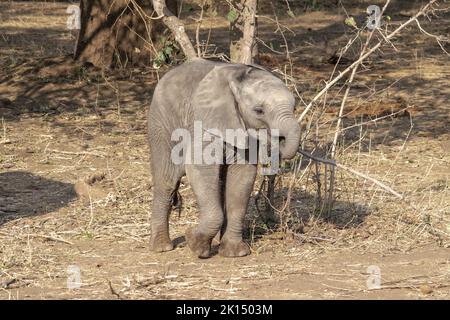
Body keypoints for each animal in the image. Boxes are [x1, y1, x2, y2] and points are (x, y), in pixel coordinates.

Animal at [148, 58, 300, 258]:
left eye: (294, 107)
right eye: (259, 111)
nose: (280, 139)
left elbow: (242, 176)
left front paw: (235, 253)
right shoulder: (205, 124)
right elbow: (199, 168)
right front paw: (194, 244)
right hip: (161, 122)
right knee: (167, 180)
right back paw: (161, 247)